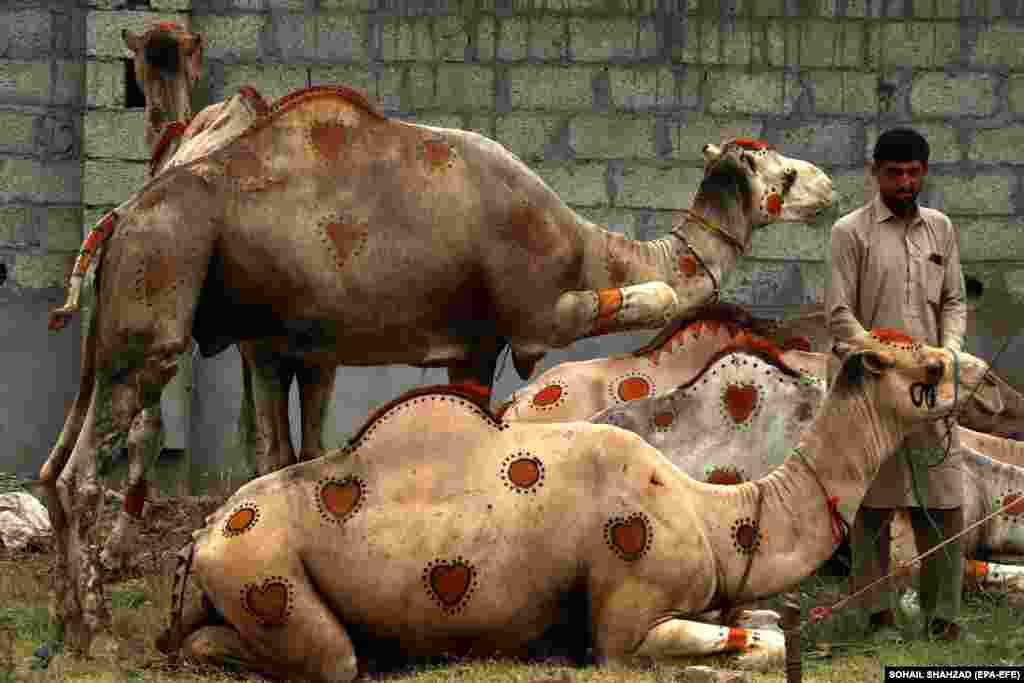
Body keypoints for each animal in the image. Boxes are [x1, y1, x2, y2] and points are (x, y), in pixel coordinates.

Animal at [155, 342, 995, 679]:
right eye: (924, 363)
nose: (983, 374)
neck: (716, 512)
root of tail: (201, 536)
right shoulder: (626, 615)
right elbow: (725, 644)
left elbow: (761, 628)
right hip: (264, 570)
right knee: (322, 657)